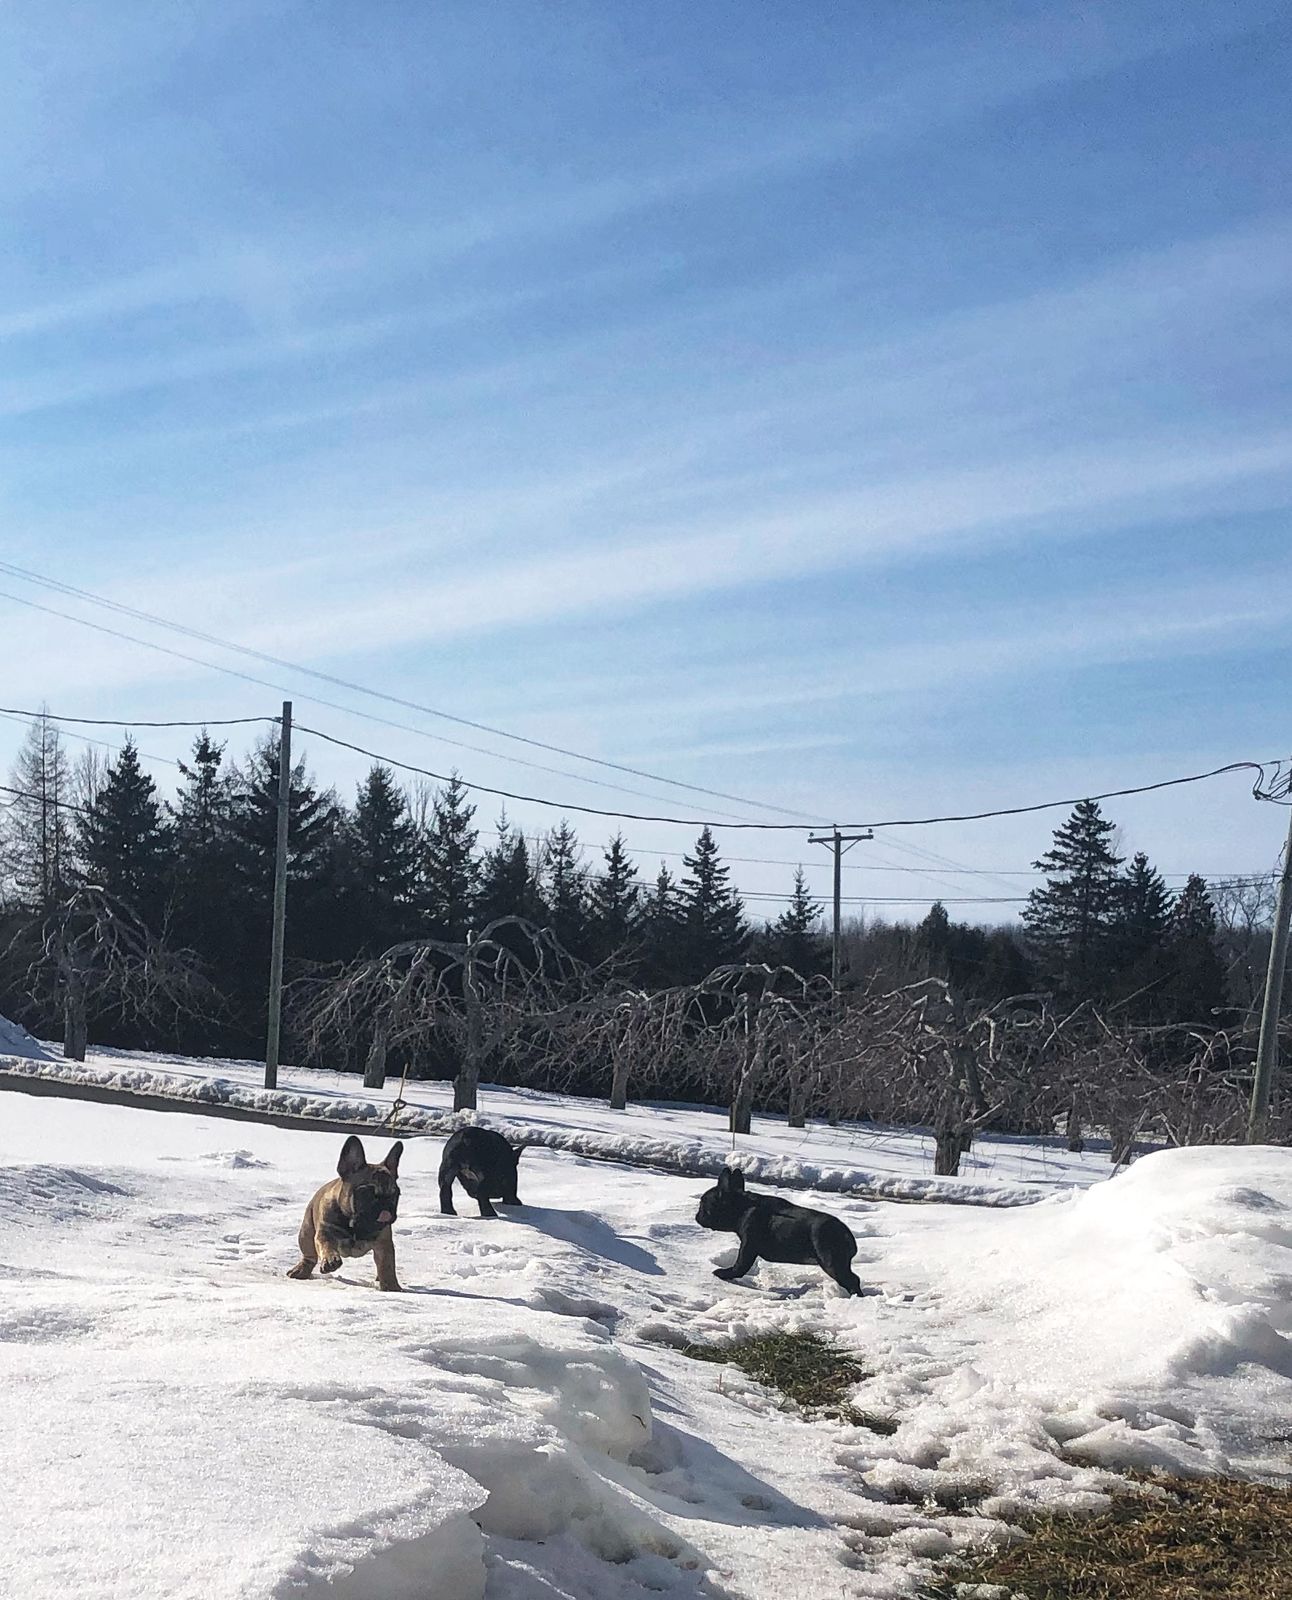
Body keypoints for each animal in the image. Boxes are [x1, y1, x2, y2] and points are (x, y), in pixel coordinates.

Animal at [287, 1135, 403, 1291]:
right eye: (366, 1193)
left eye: (396, 1195)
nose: (385, 1205)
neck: (355, 1226)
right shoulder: (325, 1232)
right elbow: (327, 1246)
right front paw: (331, 1261)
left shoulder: (383, 1243)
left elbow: (387, 1265)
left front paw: (391, 1286)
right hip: (306, 1232)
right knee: (309, 1256)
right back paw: (301, 1271)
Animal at [695, 1166, 862, 1296]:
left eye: (703, 1204)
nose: (697, 1216)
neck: (743, 1206)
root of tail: (847, 1234)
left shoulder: (749, 1245)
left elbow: (740, 1265)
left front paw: (724, 1274)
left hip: (831, 1261)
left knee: (852, 1279)